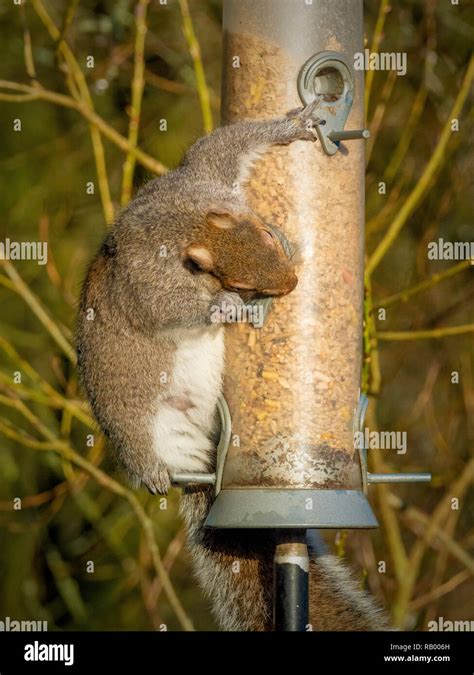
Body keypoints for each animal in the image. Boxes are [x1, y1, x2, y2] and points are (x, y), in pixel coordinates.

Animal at [77, 101, 388, 632]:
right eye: (237, 281)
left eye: (266, 231)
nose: (291, 284)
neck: (185, 224)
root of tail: (201, 464)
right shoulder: (141, 281)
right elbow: (164, 307)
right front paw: (221, 306)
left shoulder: (204, 173)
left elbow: (227, 143)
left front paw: (294, 126)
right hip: (131, 424)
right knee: (140, 449)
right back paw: (153, 472)